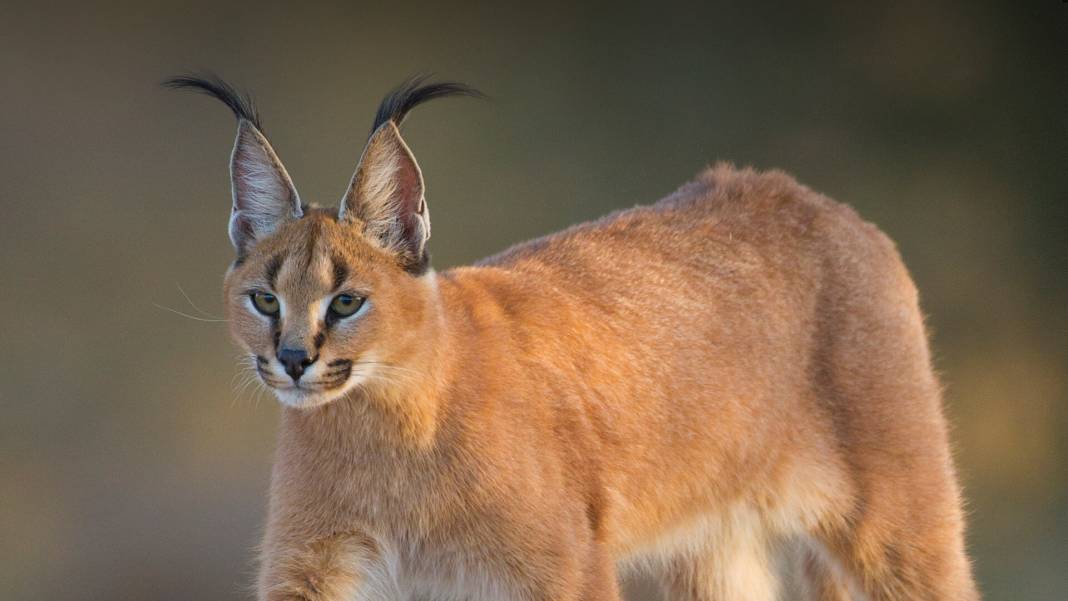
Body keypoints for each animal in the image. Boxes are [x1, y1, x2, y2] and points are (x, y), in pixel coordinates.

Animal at [170, 75, 978, 601]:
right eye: (265, 298)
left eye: (345, 301)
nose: (293, 360)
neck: (383, 425)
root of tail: (802, 193)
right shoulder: (314, 565)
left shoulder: (562, 566)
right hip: (713, 549)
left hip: (898, 523)